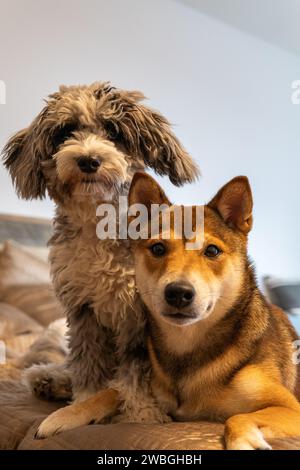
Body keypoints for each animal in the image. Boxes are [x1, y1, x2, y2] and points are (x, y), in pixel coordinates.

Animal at [2, 81, 199, 436]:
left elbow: (136, 374)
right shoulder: (83, 310)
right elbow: (88, 364)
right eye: (66, 132)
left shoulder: (141, 318)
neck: (98, 223)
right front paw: (84, 403)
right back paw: (49, 378)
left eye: (113, 131)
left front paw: (142, 414)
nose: (88, 160)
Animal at [128, 172, 300, 448]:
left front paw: (244, 442)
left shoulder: (290, 407)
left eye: (212, 250)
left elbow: (236, 417)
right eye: (157, 248)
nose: (178, 292)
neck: (187, 349)